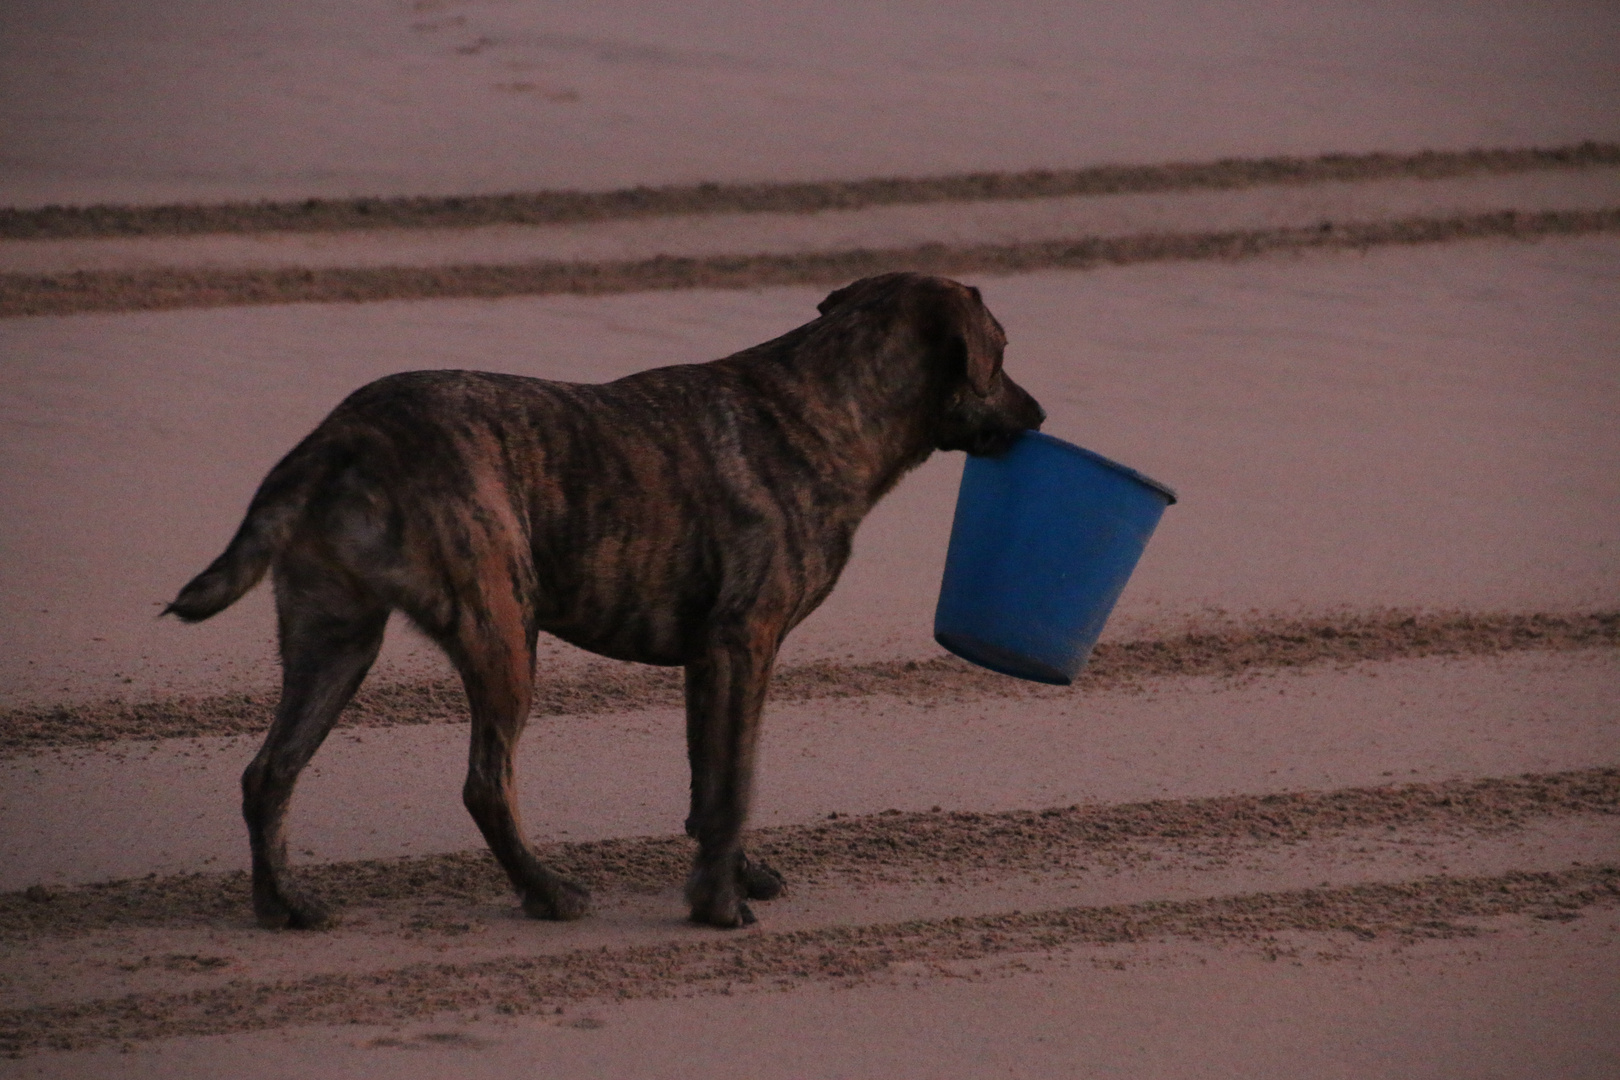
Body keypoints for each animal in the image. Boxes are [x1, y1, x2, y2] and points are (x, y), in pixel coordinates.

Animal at [170, 270, 1043, 932]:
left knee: (269, 772)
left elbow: (708, 783)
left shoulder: (708, 663)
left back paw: (284, 904)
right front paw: (717, 905)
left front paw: (733, 873)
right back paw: (547, 893)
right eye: (1001, 354)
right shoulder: (744, 643)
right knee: (485, 784)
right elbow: (735, 784)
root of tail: (342, 434)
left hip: (335, 638)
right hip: (502, 631)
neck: (831, 404)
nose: (1039, 417)